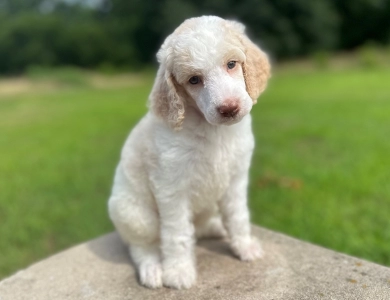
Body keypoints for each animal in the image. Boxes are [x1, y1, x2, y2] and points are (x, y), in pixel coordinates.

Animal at [108, 15, 270, 290]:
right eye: (194, 79)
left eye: (231, 64)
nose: (229, 108)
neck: (214, 132)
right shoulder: (172, 188)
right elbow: (177, 234)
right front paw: (178, 272)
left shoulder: (236, 178)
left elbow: (238, 216)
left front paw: (245, 247)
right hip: (134, 214)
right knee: (142, 246)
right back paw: (153, 269)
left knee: (201, 226)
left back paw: (216, 227)